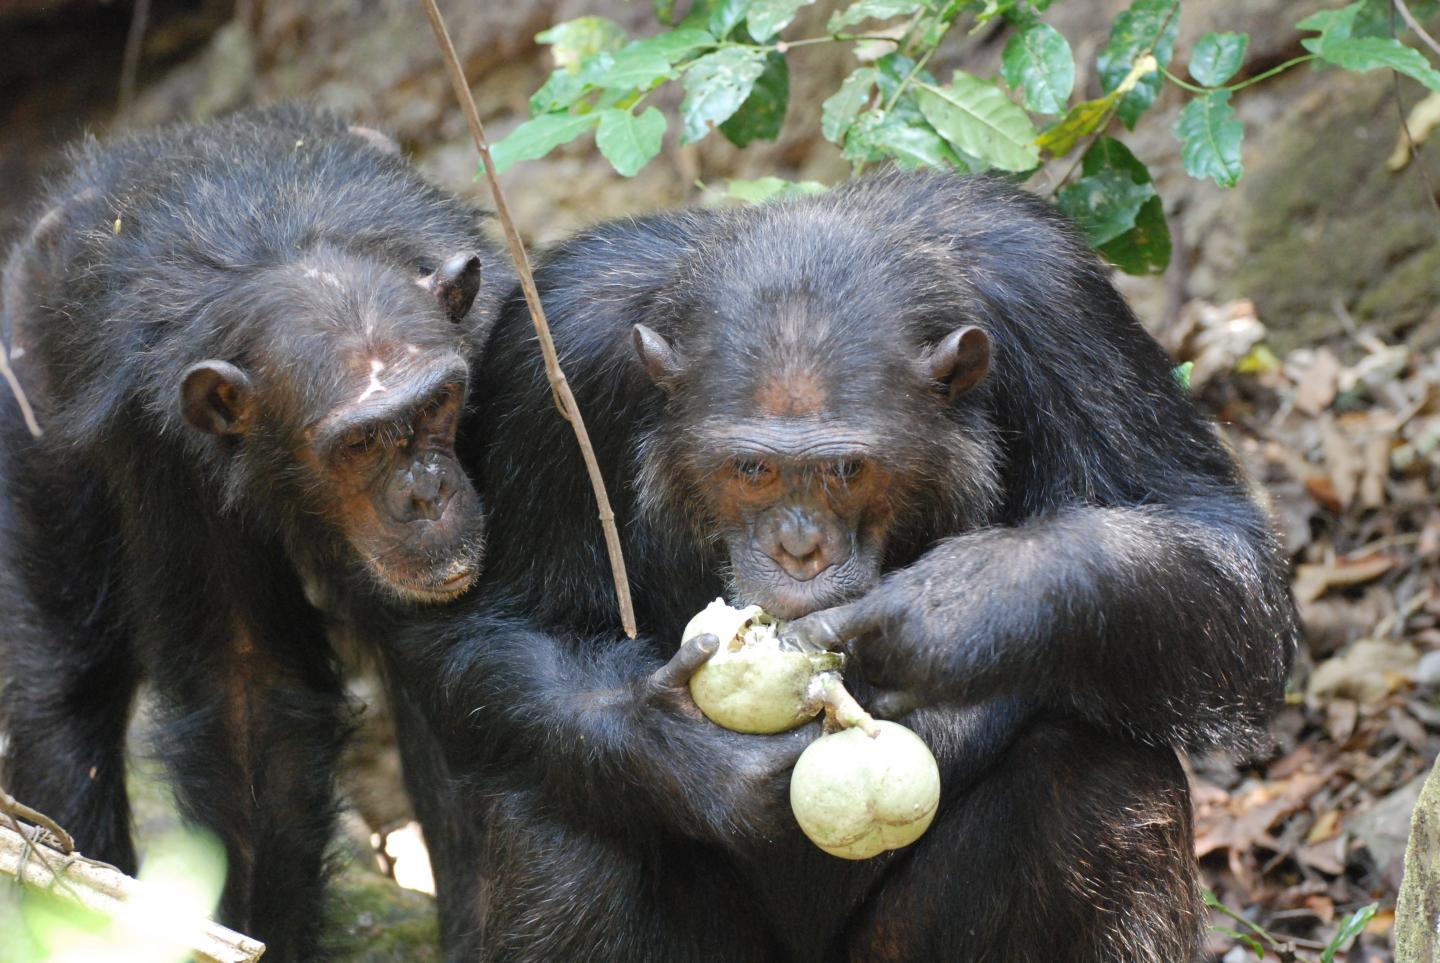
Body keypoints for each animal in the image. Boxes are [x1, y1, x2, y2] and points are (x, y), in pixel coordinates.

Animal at [0, 107, 506, 961]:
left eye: (439, 401)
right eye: (359, 444)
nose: (426, 492)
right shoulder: (164, 449)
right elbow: (247, 688)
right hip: (26, 372)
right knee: (62, 673)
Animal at [380, 169, 1296, 955]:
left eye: (847, 468)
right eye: (752, 468)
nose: (799, 547)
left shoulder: (1058, 296)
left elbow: (1215, 544)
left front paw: (965, 606)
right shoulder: (553, 352)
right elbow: (482, 620)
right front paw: (682, 751)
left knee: (1100, 781)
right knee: (566, 822)